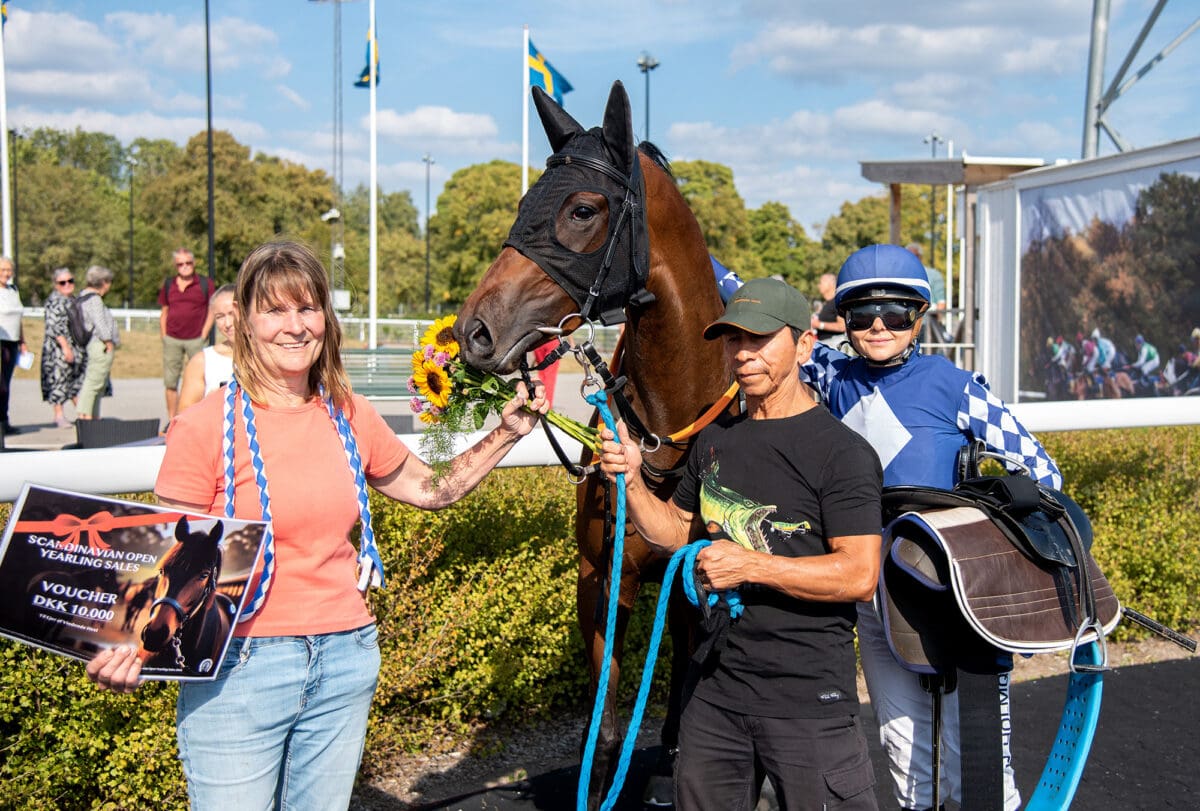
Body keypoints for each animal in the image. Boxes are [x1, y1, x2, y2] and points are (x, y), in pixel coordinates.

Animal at [451, 80, 724, 806]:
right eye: (523, 204)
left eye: (581, 208)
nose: (473, 331)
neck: (665, 436)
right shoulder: (600, 576)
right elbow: (601, 723)